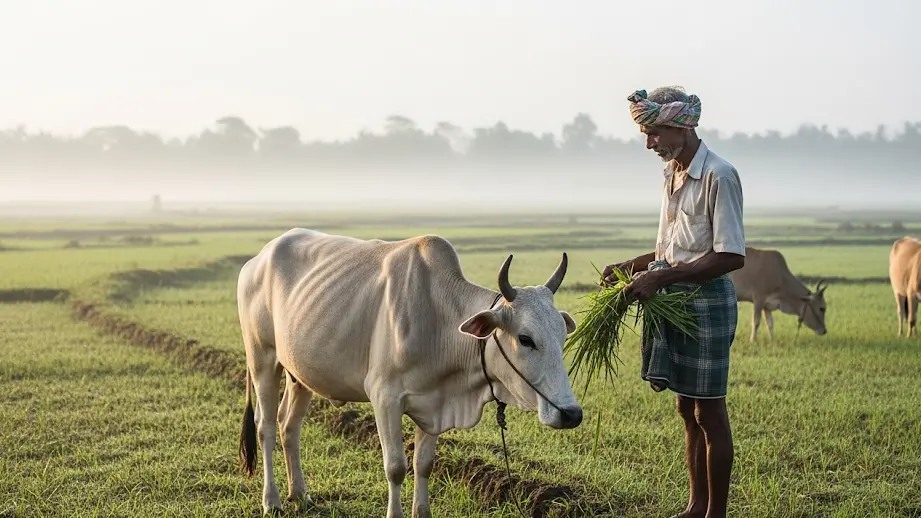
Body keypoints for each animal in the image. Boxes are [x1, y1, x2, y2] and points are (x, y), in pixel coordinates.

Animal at [236, 228, 583, 517]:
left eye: (562, 335)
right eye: (525, 339)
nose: (571, 414)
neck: (439, 322)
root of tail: (256, 261)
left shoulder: (436, 403)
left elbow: (424, 464)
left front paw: (422, 512)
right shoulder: (385, 399)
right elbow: (396, 467)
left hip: (301, 375)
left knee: (289, 426)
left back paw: (300, 493)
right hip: (262, 359)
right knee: (266, 427)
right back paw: (272, 500)